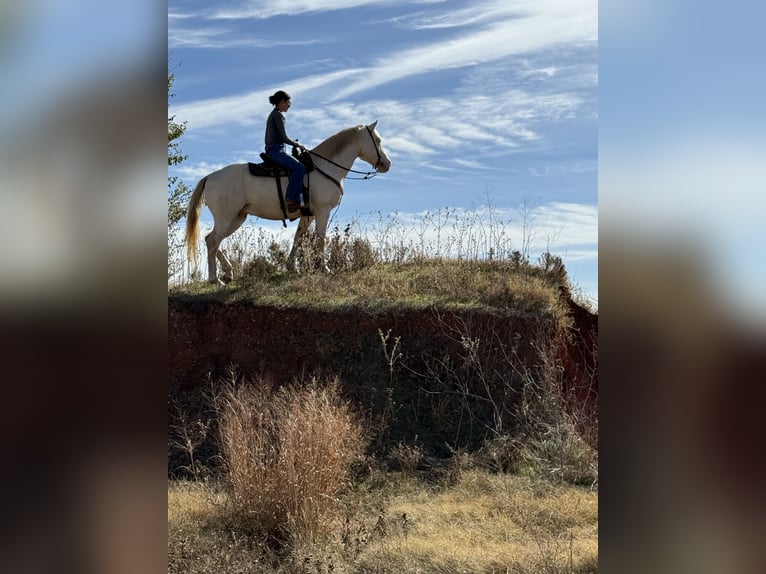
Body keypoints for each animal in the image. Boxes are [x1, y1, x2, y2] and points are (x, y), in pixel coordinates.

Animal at [185, 121, 391, 284]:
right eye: (378, 140)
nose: (387, 164)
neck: (325, 167)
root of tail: (210, 177)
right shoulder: (322, 211)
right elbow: (321, 239)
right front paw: (323, 269)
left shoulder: (308, 215)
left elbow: (298, 237)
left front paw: (292, 266)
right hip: (226, 217)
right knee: (213, 241)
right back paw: (215, 279)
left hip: (237, 218)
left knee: (212, 240)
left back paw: (227, 272)